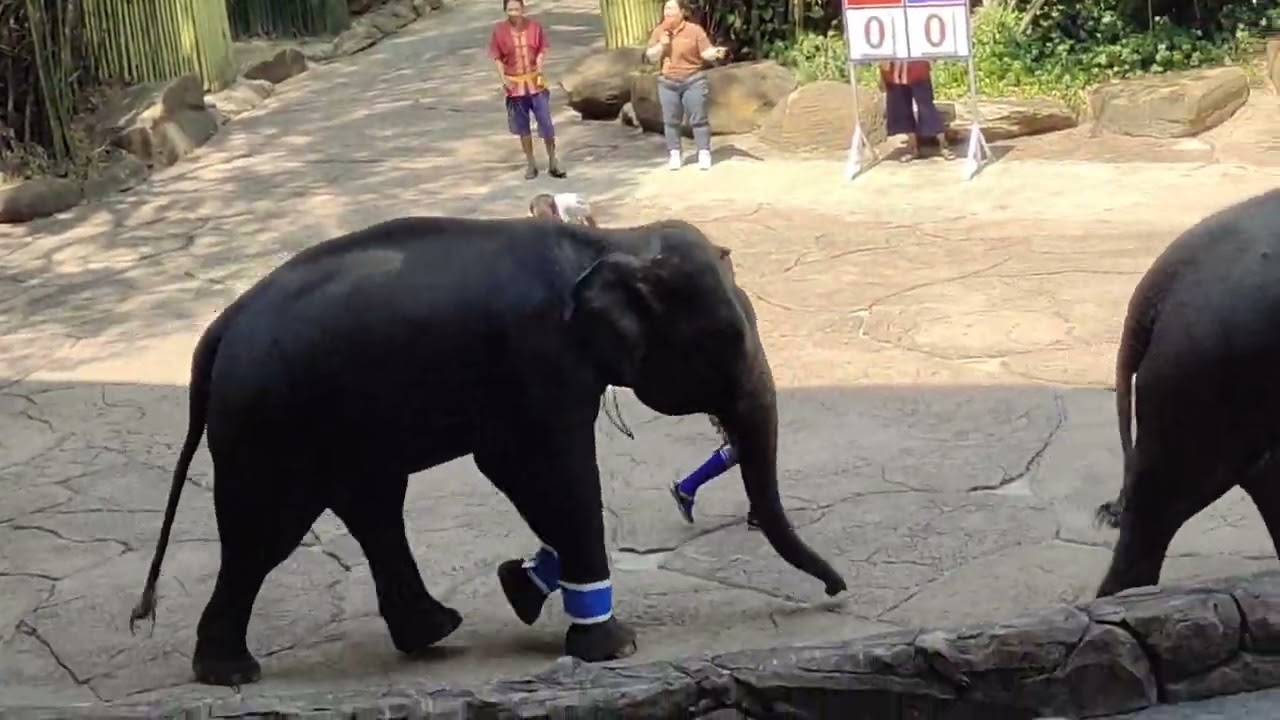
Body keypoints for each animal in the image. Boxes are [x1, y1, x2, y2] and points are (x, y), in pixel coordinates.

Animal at [128, 214, 848, 687]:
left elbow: (541, 481)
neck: (609, 239)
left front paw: (524, 587)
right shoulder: (537, 360)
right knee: (267, 534)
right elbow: (545, 470)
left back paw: (434, 631)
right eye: (728, 337)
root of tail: (216, 333)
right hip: (270, 423)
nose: (837, 594)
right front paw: (613, 646)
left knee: (372, 509)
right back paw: (232, 673)